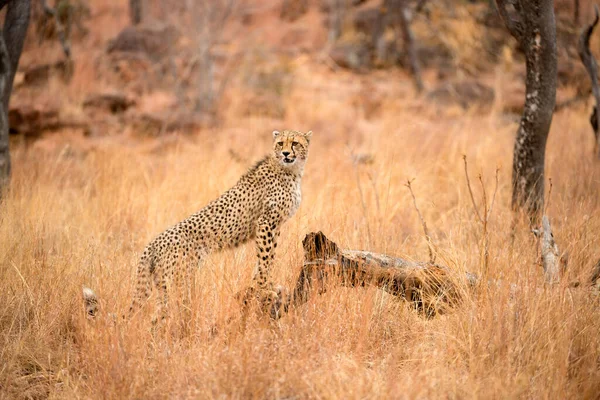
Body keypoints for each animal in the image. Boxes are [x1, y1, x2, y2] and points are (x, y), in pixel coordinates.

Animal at [125, 130, 314, 318]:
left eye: (295, 143)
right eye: (281, 143)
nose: (286, 153)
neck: (290, 170)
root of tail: (153, 243)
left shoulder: (275, 225)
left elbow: (266, 258)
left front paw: (263, 285)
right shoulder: (266, 223)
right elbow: (266, 258)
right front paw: (265, 288)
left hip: (165, 284)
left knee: (158, 317)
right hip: (178, 280)